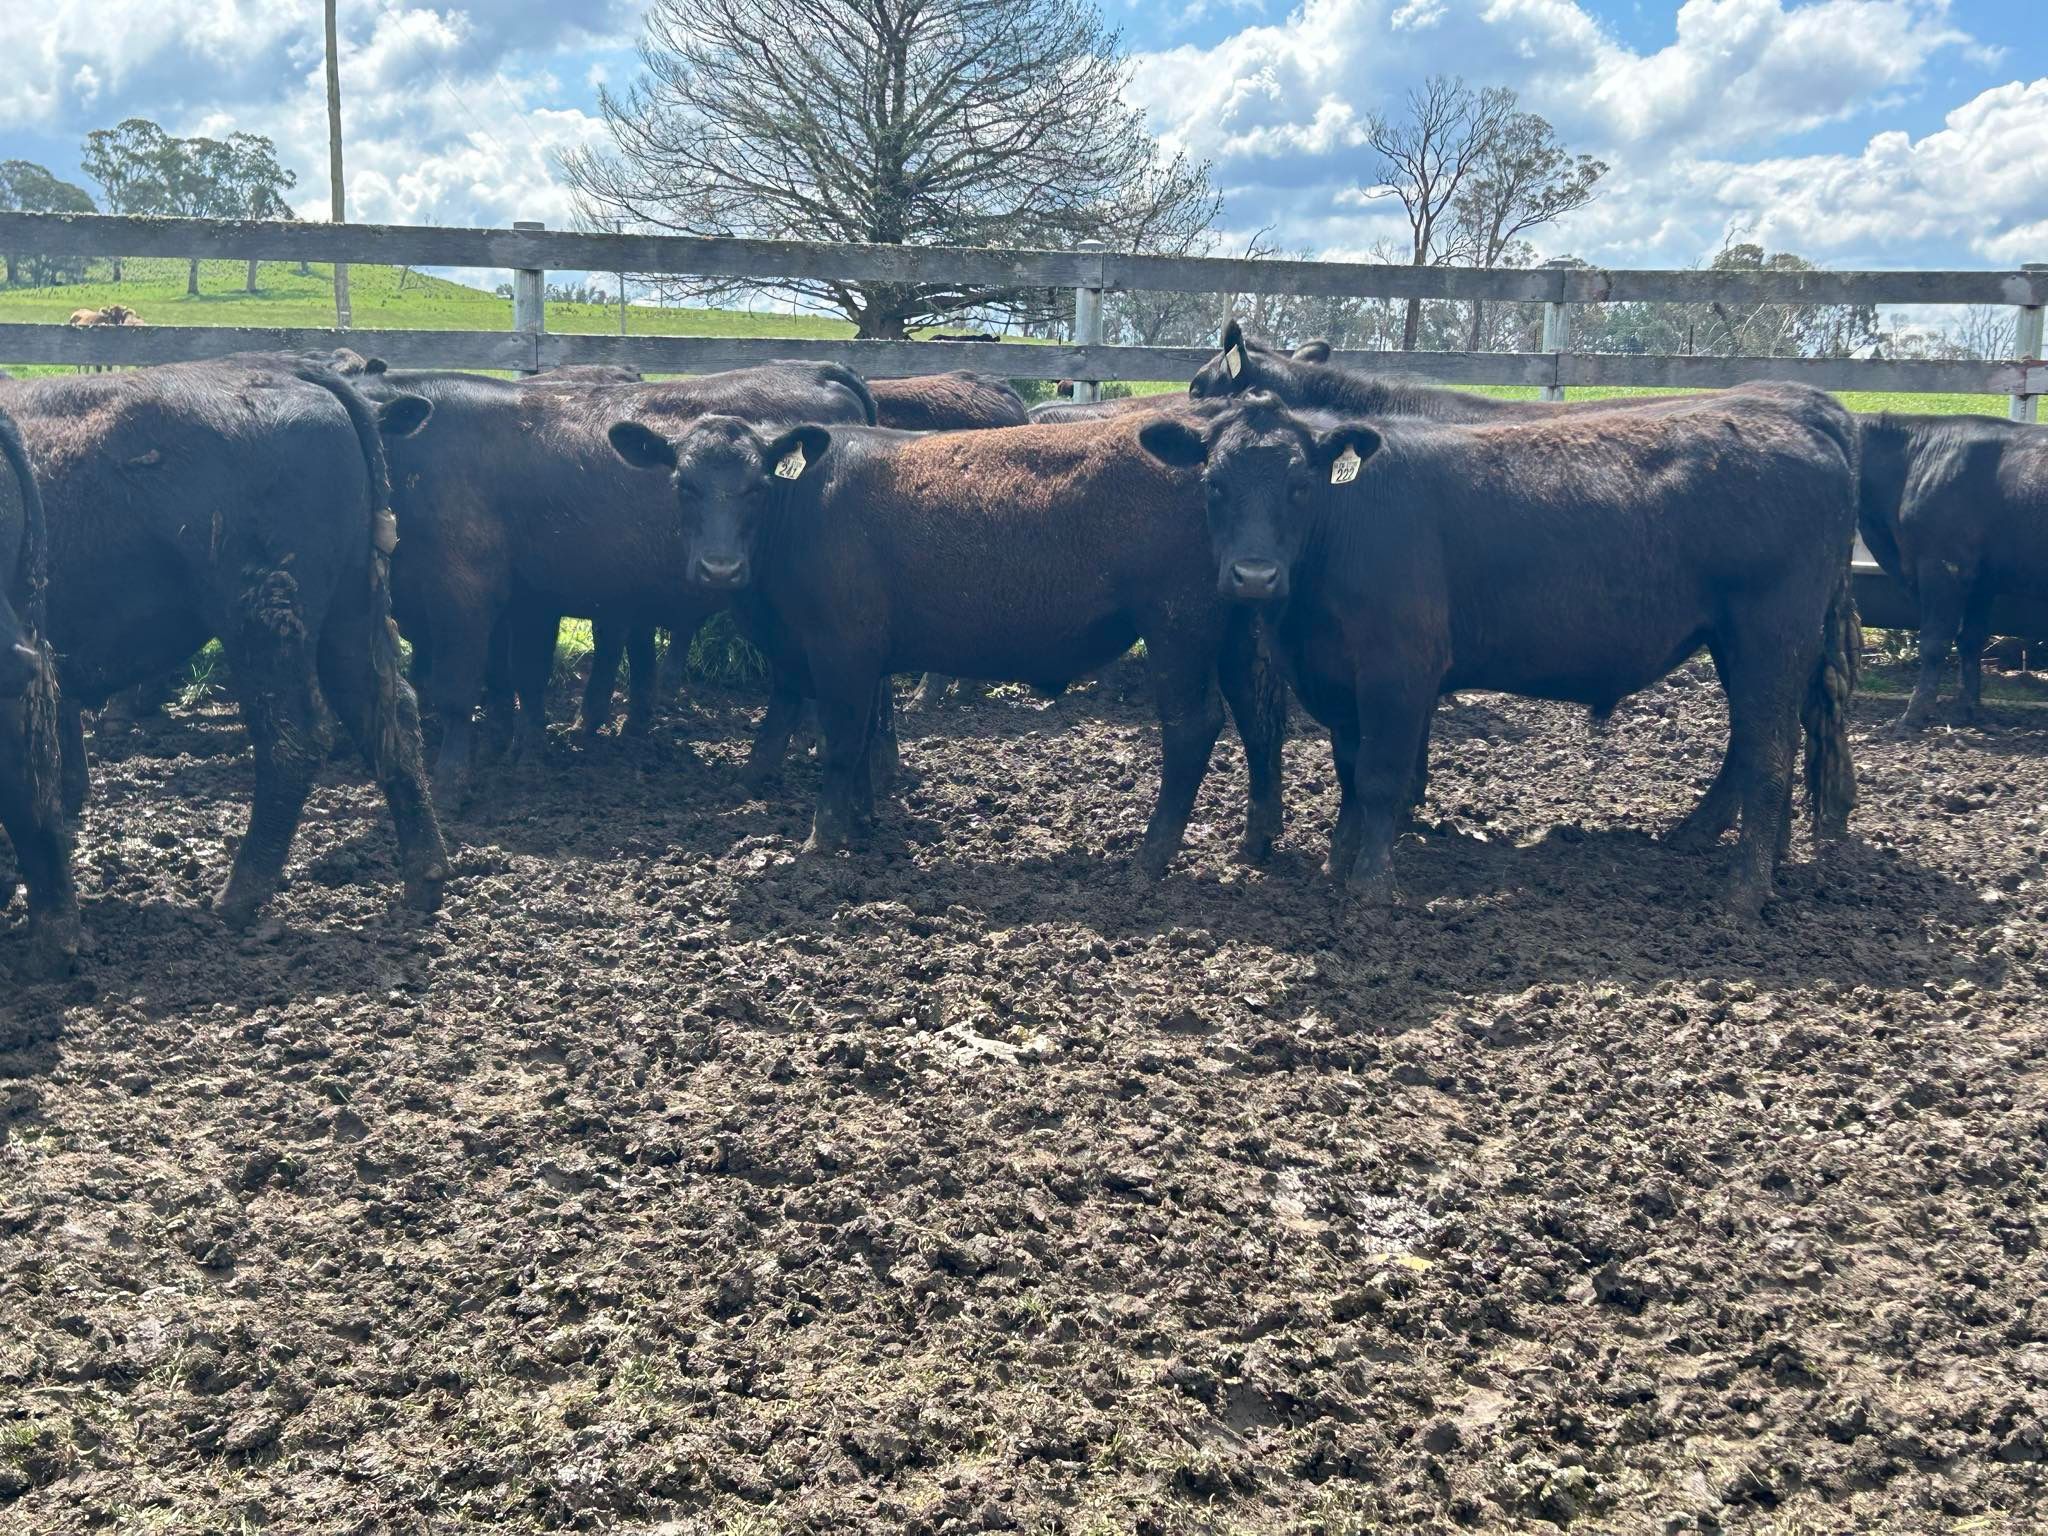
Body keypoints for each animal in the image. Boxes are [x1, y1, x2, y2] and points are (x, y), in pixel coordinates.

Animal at [0, 357, 450, 926]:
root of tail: (296, 371)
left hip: (261, 625)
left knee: (294, 738)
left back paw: (237, 896)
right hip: (350, 615)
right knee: (389, 718)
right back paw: (425, 879)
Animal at [339, 363, 879, 796]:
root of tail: (817, 370)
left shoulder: (464, 594)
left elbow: (457, 688)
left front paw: (453, 779)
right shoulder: (527, 598)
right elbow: (518, 676)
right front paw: (519, 749)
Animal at [605, 410, 1288, 876]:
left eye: (756, 487)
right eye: (683, 485)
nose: (718, 568)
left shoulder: (842, 648)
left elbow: (842, 740)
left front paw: (825, 835)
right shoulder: (857, 655)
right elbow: (862, 738)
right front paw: (861, 821)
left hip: (1177, 626)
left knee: (1193, 724)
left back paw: (1152, 852)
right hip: (1234, 624)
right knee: (1258, 719)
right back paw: (1257, 839)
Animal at [1134, 388, 1860, 917]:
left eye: (1300, 485)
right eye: (1214, 483)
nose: (1253, 577)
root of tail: (1806, 427)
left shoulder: (1401, 668)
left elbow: (1380, 776)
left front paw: (1370, 884)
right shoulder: (1339, 675)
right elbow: (1349, 770)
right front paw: (1338, 862)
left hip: (1772, 632)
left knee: (1768, 751)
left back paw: (1744, 889)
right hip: (1741, 642)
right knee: (1755, 742)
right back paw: (1713, 842)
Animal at [1854, 412, 2048, 730]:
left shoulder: (1942, 565)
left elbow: (1934, 642)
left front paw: (1914, 715)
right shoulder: (1982, 581)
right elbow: (1971, 640)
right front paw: (1967, 710)